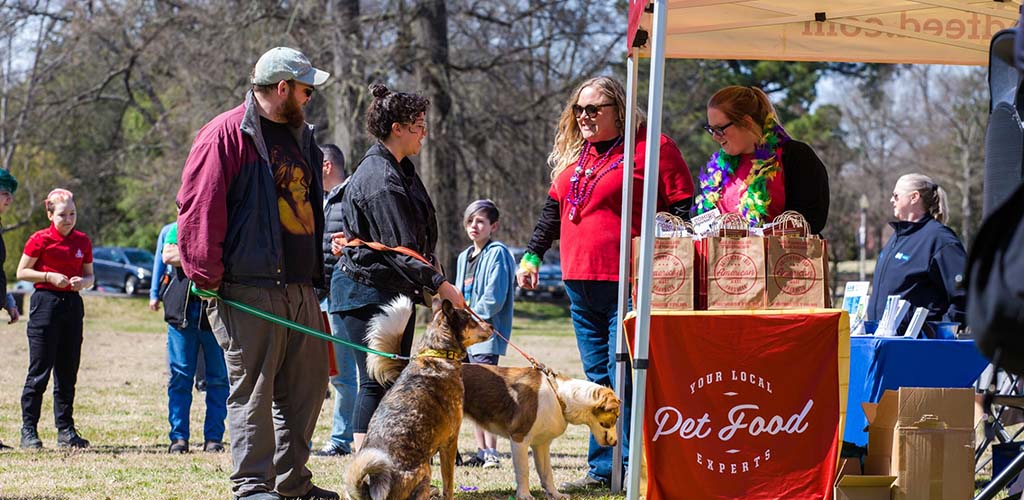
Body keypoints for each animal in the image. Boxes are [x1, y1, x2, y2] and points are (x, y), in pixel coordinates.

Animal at [344, 297, 491, 500]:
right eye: (471, 320)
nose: (492, 326)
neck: (438, 353)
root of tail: (370, 491)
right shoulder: (450, 441)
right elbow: (448, 483)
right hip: (425, 470)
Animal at [370, 311, 622, 500]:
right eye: (614, 418)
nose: (616, 443)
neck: (559, 394)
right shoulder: (519, 439)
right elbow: (524, 472)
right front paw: (524, 495)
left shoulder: (541, 444)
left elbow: (547, 474)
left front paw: (555, 495)